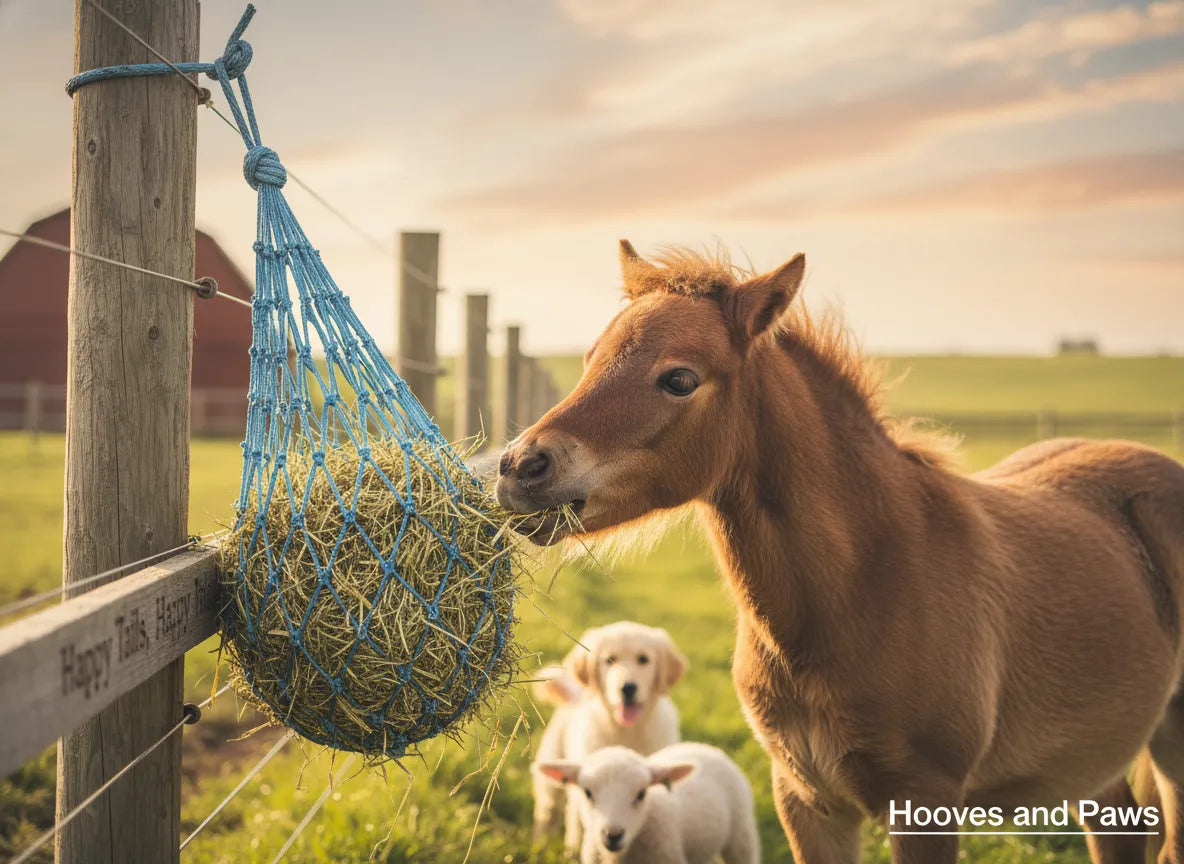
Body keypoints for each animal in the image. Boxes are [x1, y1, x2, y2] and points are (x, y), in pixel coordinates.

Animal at [496, 241, 1184, 864]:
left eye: (679, 378)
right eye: (591, 359)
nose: (520, 468)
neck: (864, 593)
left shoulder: (924, 803)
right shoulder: (806, 800)